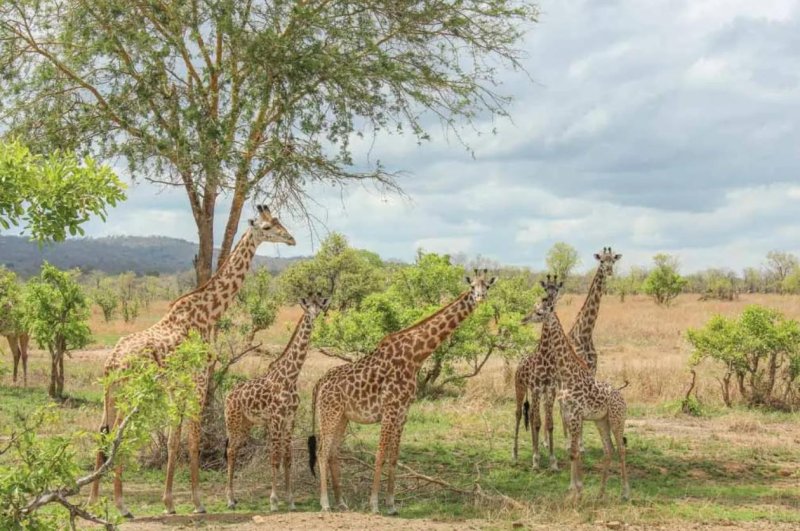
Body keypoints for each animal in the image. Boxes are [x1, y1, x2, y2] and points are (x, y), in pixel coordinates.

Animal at [88, 206, 294, 516]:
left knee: (103, 434)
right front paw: (198, 502)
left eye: (280, 222)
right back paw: (121, 505)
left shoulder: (177, 387)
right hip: (130, 393)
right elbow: (193, 439)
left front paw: (169, 503)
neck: (208, 313)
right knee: (118, 436)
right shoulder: (199, 379)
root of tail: (111, 362)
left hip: (110, 394)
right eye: (268, 227)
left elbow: (175, 440)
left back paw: (92, 502)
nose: (291, 239)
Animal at [223, 294, 330, 512]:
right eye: (308, 309)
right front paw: (273, 501)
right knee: (230, 451)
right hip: (232, 421)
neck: (291, 376)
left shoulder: (290, 419)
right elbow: (275, 458)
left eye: (319, 308)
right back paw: (229, 500)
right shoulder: (276, 419)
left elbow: (287, 458)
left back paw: (234, 498)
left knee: (234, 451)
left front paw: (290, 500)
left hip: (246, 424)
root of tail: (227, 395)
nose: (313, 319)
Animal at [306, 270, 494, 516]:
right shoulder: (389, 409)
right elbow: (380, 455)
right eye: (472, 287)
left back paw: (341, 502)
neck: (415, 355)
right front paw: (374, 504)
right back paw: (325, 504)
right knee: (321, 451)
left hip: (343, 417)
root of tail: (319, 383)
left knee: (333, 452)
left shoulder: (403, 411)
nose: (480, 297)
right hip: (329, 413)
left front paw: (391, 504)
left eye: (487, 286)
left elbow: (394, 457)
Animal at [512, 274, 564, 470]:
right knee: (519, 414)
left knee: (534, 415)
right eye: (535, 309)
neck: (547, 358)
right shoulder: (535, 388)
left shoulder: (550, 390)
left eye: (540, 312)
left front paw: (552, 461)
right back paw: (515, 455)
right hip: (520, 388)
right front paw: (535, 460)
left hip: (535, 393)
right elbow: (536, 423)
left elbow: (548, 424)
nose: (524, 319)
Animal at [524, 284, 632, 500]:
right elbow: (572, 451)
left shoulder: (575, 415)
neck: (568, 374)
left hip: (617, 420)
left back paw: (625, 492)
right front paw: (573, 487)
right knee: (609, 449)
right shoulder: (568, 413)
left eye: (539, 312)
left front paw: (577, 489)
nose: (524, 319)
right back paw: (600, 493)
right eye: (533, 307)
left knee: (622, 449)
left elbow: (575, 451)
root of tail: (623, 398)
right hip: (601, 421)